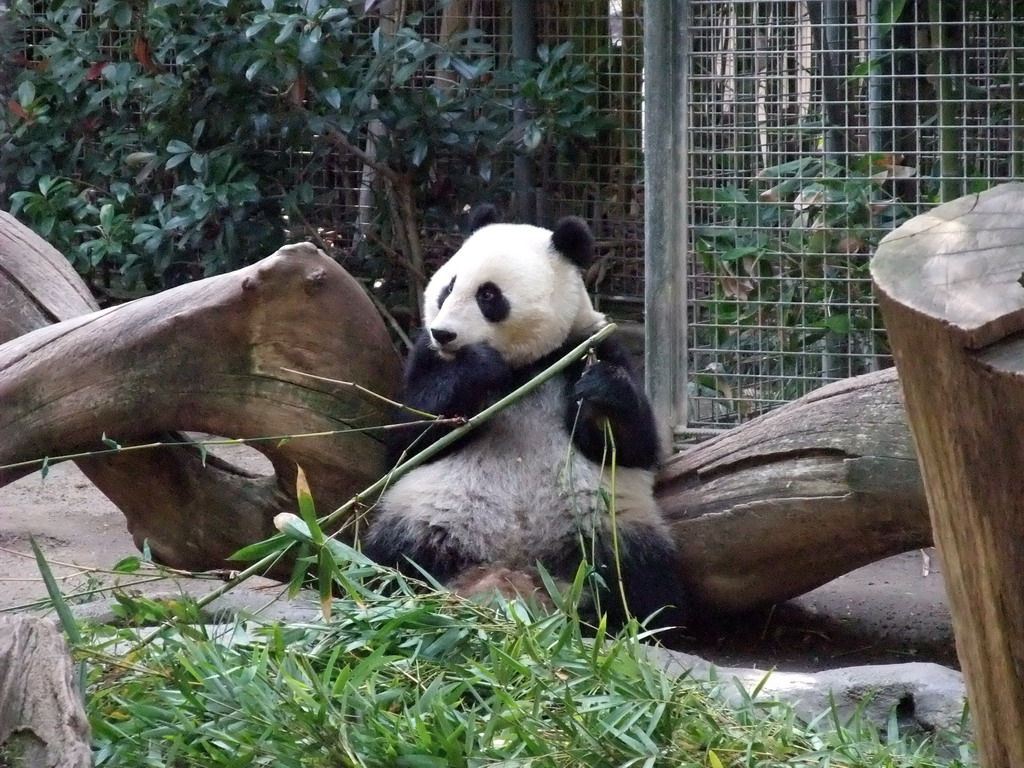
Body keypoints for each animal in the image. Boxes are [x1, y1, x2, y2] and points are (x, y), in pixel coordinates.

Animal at [360, 207, 688, 634]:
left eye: (488, 296)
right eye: (448, 287)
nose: (443, 333)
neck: (525, 367)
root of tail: (515, 573)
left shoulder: (588, 346)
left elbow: (634, 446)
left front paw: (603, 390)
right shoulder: (424, 358)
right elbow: (408, 443)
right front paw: (477, 366)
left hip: (609, 527)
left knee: (644, 578)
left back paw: (641, 624)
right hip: (422, 518)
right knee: (387, 560)